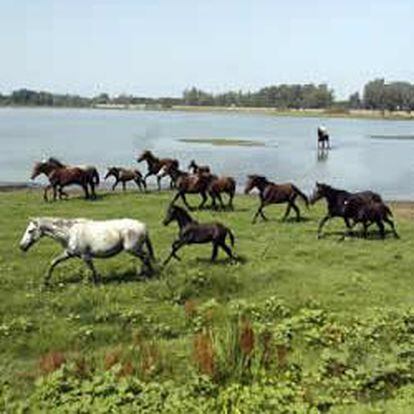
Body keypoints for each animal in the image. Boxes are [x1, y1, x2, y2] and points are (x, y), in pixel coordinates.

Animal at [19, 215, 155, 286]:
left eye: (30, 231)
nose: (22, 246)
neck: (69, 233)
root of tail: (143, 226)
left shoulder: (85, 256)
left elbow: (91, 269)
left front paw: (96, 283)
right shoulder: (68, 253)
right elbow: (53, 262)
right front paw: (45, 281)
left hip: (132, 249)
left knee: (146, 257)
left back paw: (145, 275)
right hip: (135, 249)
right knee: (146, 258)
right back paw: (147, 274)